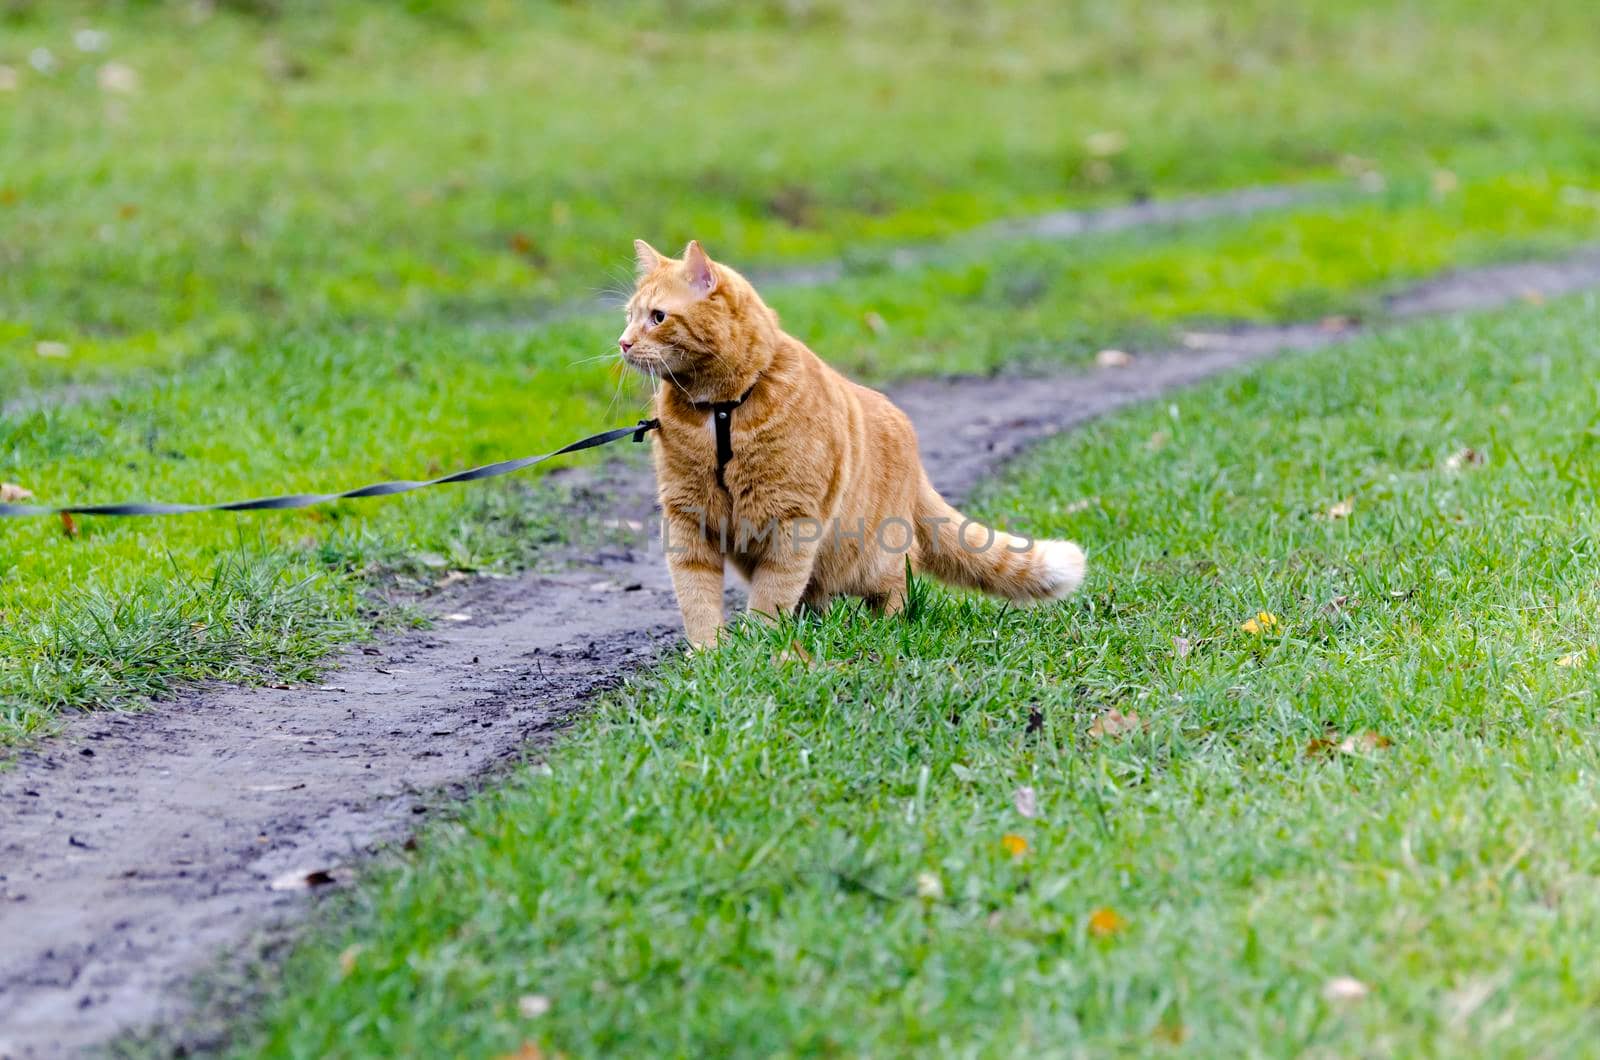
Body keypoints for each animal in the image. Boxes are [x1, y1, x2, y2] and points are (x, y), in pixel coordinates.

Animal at [617, 240, 1081, 646]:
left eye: (658, 317)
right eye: (629, 316)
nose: (622, 343)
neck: (721, 409)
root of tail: (915, 459)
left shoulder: (791, 517)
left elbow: (772, 592)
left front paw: (758, 643)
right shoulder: (688, 515)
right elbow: (696, 593)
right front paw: (708, 652)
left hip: (876, 556)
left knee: (897, 583)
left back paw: (883, 623)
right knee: (816, 595)